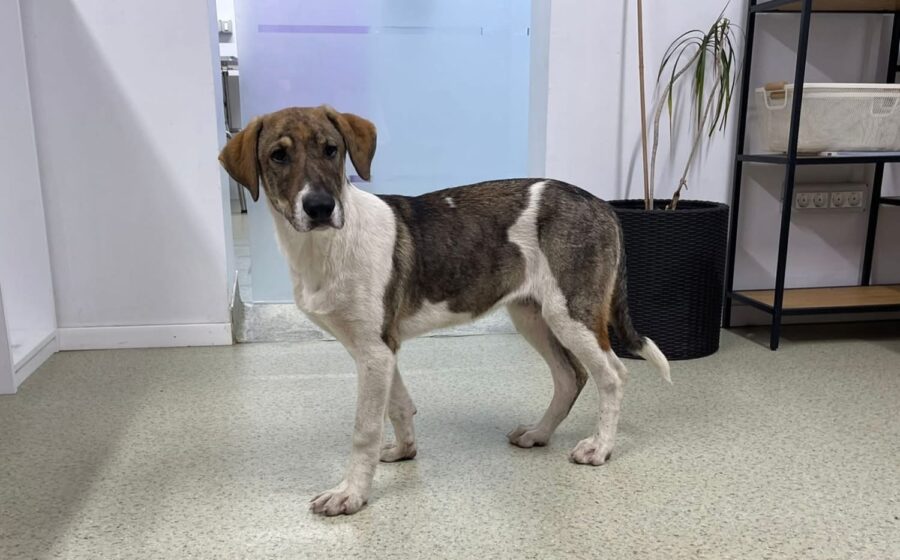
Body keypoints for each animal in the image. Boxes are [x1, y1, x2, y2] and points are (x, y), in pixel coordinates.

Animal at [219, 106, 670, 516]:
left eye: (332, 150)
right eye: (278, 156)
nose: (319, 207)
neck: (326, 246)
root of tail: (602, 205)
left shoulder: (373, 352)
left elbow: (364, 429)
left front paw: (351, 494)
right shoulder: (381, 349)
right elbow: (398, 405)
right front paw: (404, 451)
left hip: (570, 311)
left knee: (612, 375)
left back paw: (600, 447)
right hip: (531, 315)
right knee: (569, 377)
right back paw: (539, 434)